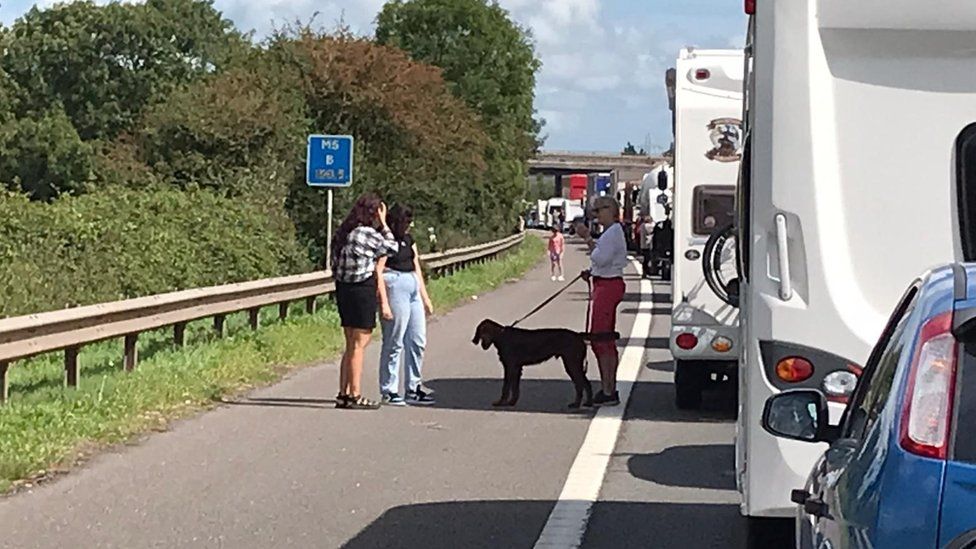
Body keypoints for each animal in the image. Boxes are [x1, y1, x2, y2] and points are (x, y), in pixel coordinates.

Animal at [470, 322, 616, 406]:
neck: (501, 336)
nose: (476, 342)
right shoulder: (517, 369)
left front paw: (501, 402)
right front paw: (512, 402)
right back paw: (576, 403)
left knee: (585, 383)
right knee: (579, 385)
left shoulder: (509, 367)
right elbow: (515, 388)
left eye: (482, 331)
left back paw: (587, 403)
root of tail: (578, 335)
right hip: (572, 364)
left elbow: (506, 388)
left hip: (572, 364)